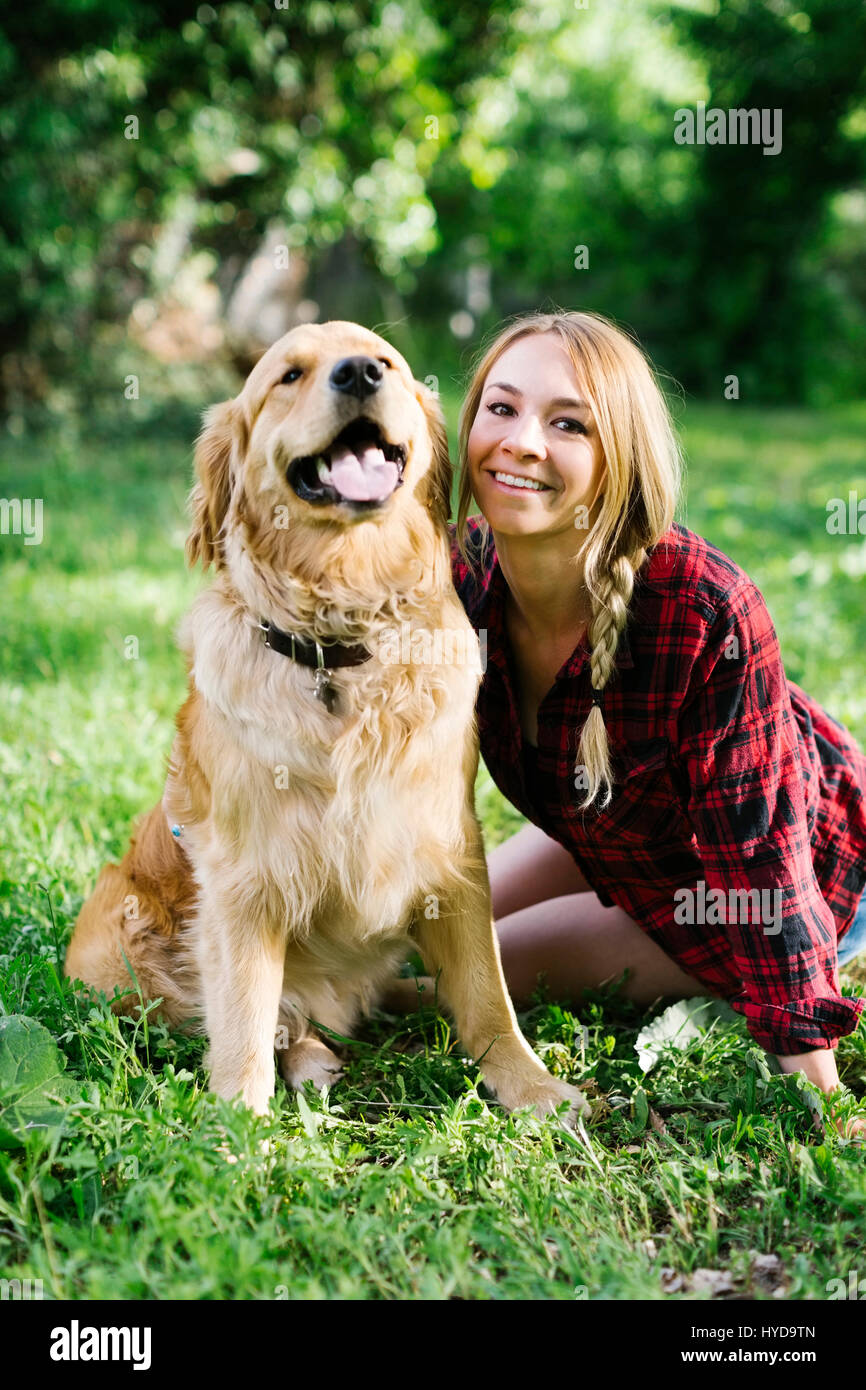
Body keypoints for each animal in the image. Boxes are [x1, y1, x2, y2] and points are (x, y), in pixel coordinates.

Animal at [64, 325, 586, 1128]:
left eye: (389, 362)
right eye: (288, 376)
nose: (360, 372)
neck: (341, 641)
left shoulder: (451, 849)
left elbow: (487, 993)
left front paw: (528, 1084)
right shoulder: (243, 879)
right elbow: (244, 1017)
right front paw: (236, 1128)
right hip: (111, 941)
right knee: (267, 1016)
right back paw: (308, 1057)